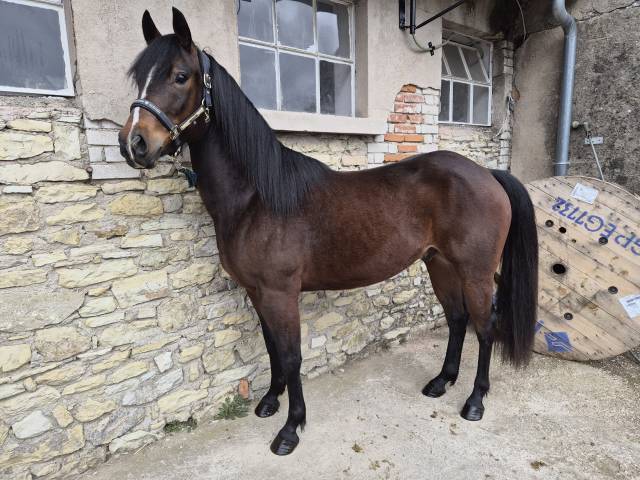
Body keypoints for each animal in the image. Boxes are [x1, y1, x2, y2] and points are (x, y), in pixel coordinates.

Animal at [118, 8, 538, 456]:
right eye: (139, 77)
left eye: (180, 76)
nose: (134, 143)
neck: (256, 198)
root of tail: (488, 174)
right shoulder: (257, 291)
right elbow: (272, 348)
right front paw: (270, 402)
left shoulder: (281, 293)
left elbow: (291, 357)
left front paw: (291, 429)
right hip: (438, 263)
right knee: (457, 319)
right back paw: (441, 381)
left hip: (475, 271)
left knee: (484, 326)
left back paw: (475, 401)